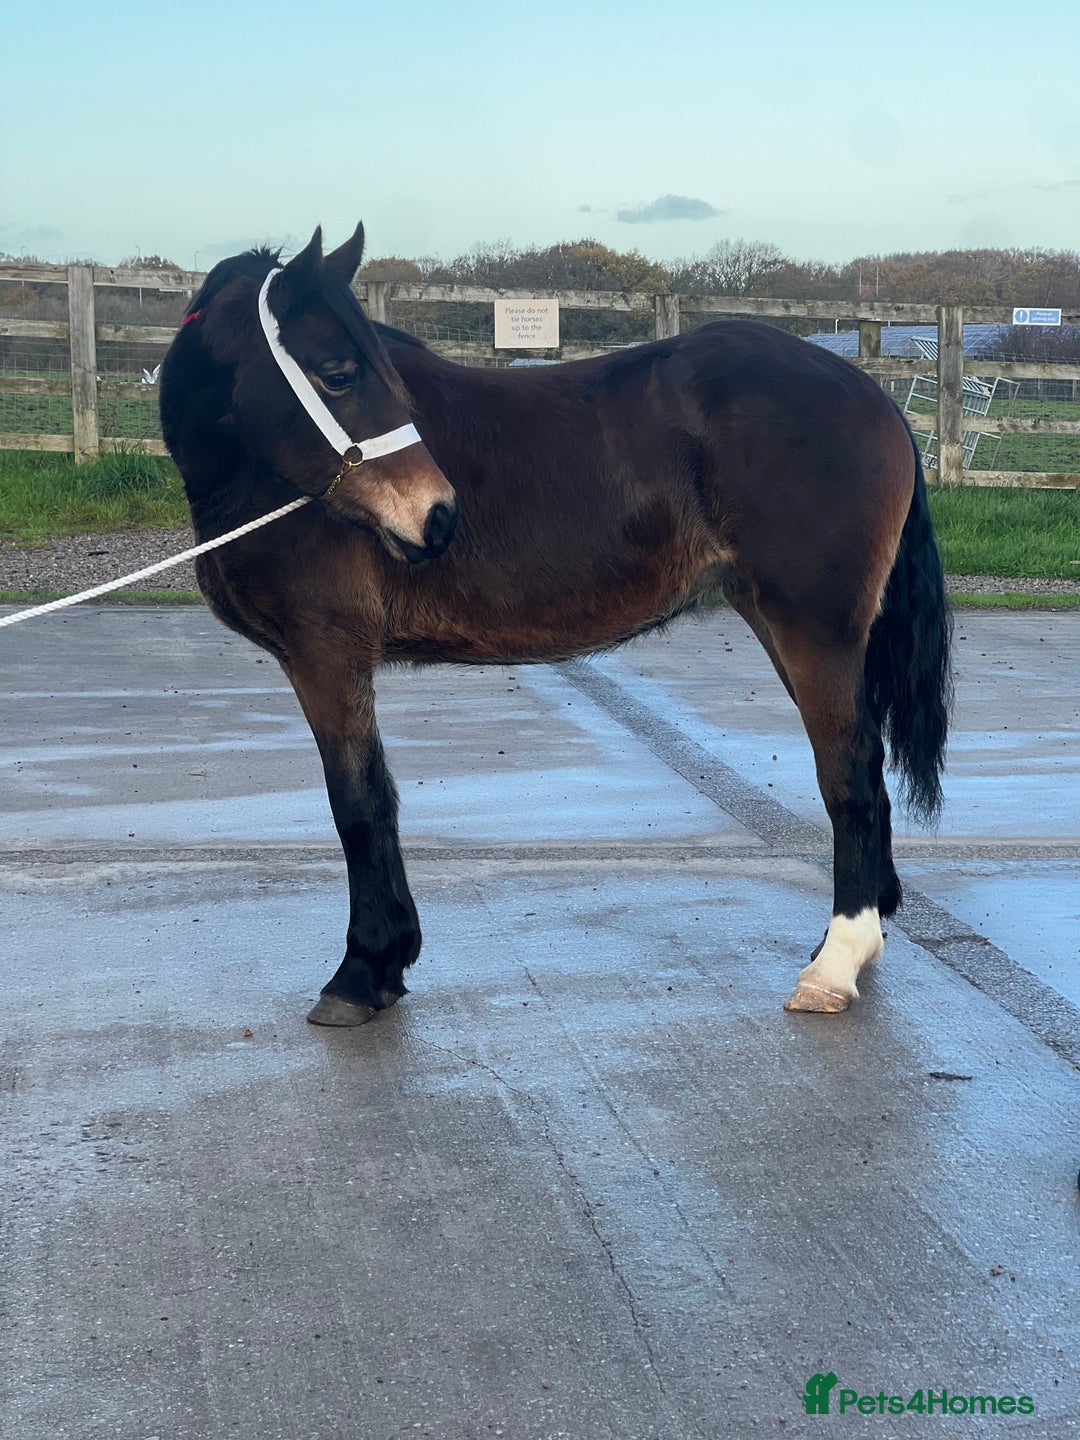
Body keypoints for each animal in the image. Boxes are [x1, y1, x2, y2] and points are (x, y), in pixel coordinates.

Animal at [159, 223, 951, 1027]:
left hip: (813, 628)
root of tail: (873, 397)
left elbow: (358, 800)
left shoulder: (327, 650)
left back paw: (837, 962)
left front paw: (363, 970)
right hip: (778, 621)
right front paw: (388, 962)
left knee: (848, 768)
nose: (437, 517)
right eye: (341, 373)